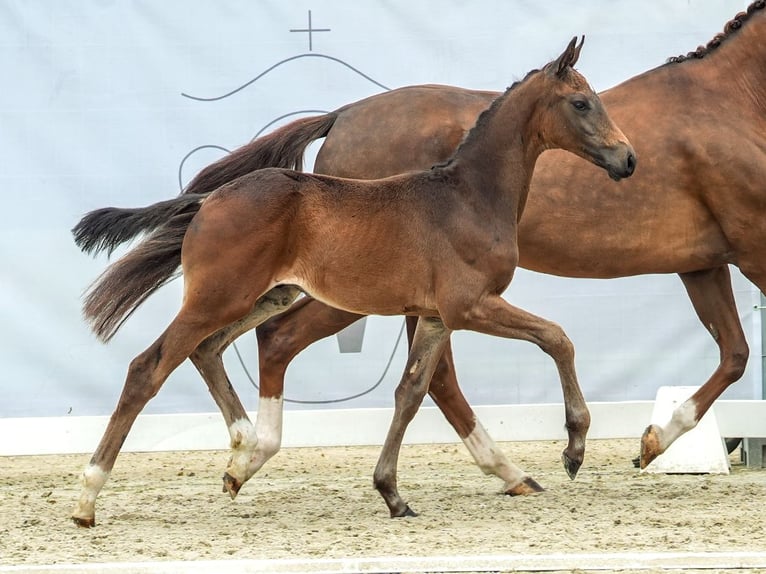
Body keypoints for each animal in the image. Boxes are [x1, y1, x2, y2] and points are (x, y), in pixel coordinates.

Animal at [72, 38, 636, 528]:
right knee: (149, 368)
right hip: (221, 297)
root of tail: (208, 201)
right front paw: (574, 448)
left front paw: (392, 493)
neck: (468, 196)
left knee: (210, 349)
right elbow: (556, 338)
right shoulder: (470, 305)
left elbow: (412, 390)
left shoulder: (434, 316)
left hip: (268, 295)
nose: (628, 159)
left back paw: (242, 455)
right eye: (581, 102)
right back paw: (88, 498)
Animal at [154, 1, 760, 482]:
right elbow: (570, 341)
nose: (629, 159)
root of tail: (342, 115)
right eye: (582, 103)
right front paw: (601, 445)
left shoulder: (704, 263)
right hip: (354, 297)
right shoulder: (752, 252)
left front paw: (653, 441)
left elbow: (734, 352)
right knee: (316, 349)